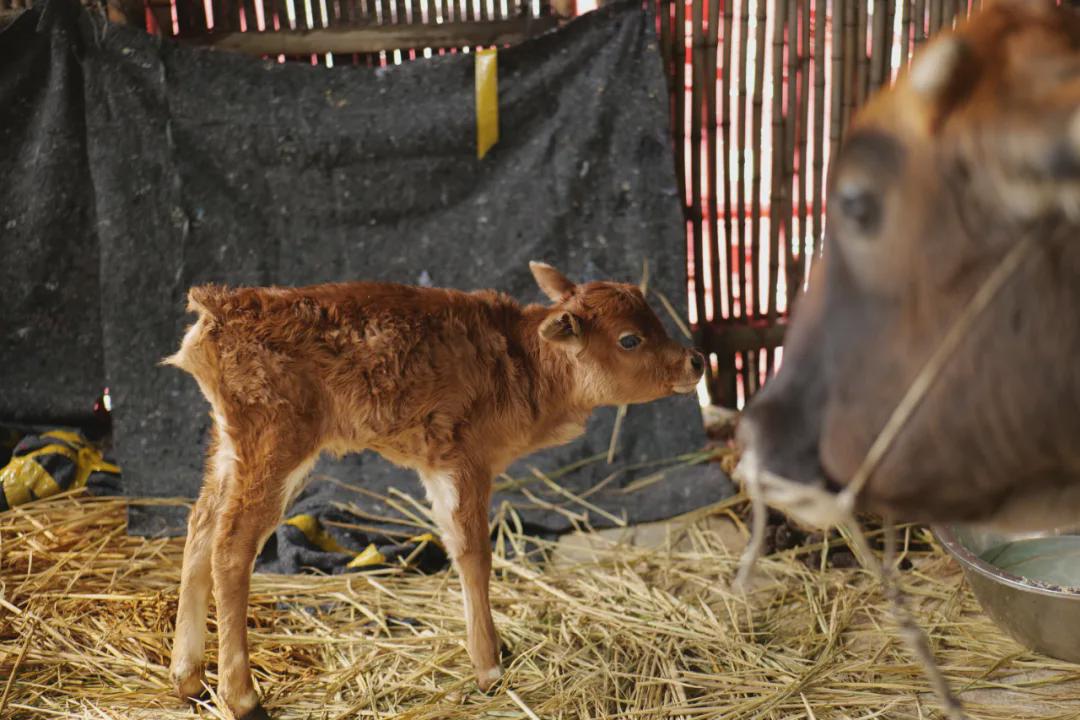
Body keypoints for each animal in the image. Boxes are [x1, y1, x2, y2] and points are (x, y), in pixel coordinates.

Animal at [164, 263, 704, 720]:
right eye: (630, 338)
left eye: (656, 319)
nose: (696, 361)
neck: (527, 366)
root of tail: (220, 307)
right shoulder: (462, 459)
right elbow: (473, 553)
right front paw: (489, 667)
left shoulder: (439, 463)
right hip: (274, 442)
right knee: (231, 547)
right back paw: (242, 697)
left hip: (229, 444)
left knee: (200, 525)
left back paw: (188, 679)